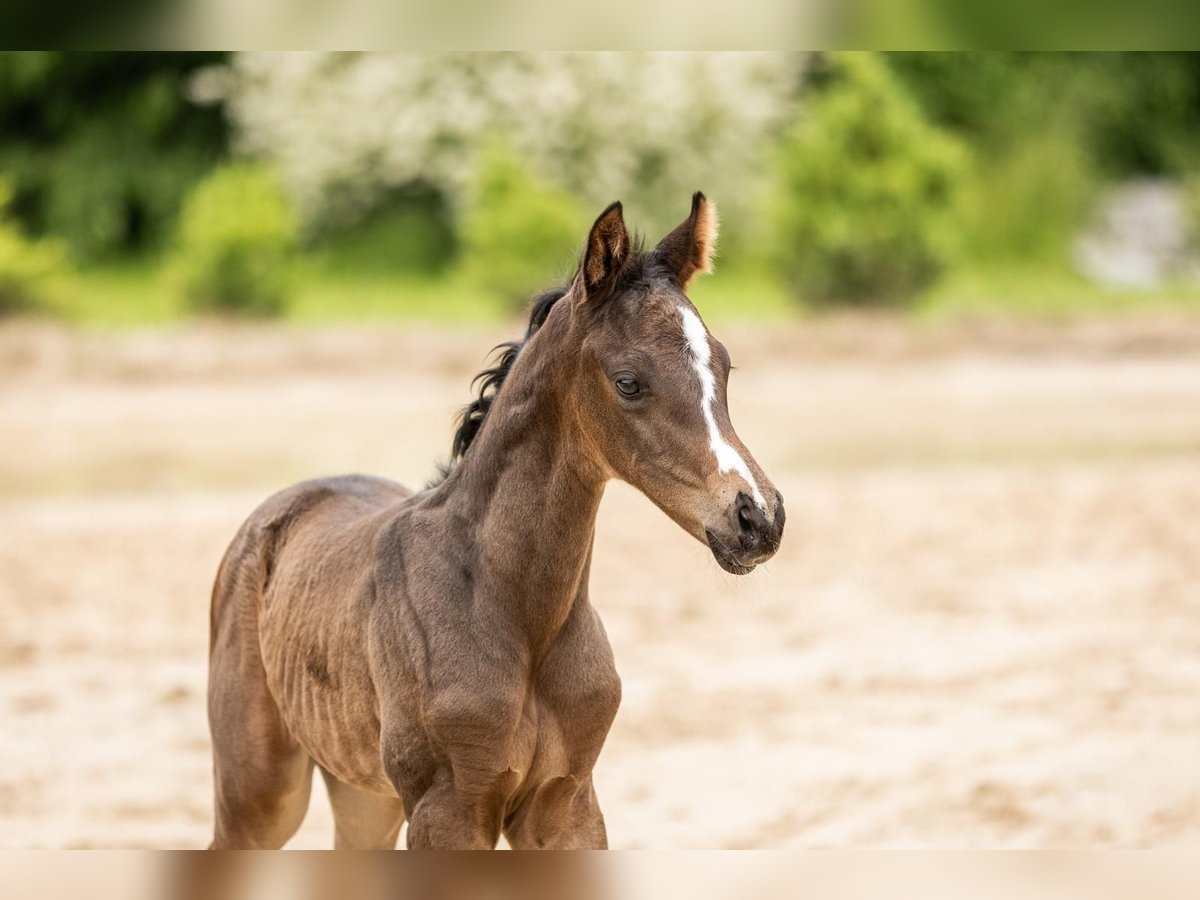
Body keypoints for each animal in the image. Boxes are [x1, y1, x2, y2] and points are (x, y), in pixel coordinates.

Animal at [208, 194, 787, 849]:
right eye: (628, 382)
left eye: (724, 367)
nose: (758, 517)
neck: (516, 610)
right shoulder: (447, 809)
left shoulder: (566, 803)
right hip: (259, 791)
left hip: (366, 796)